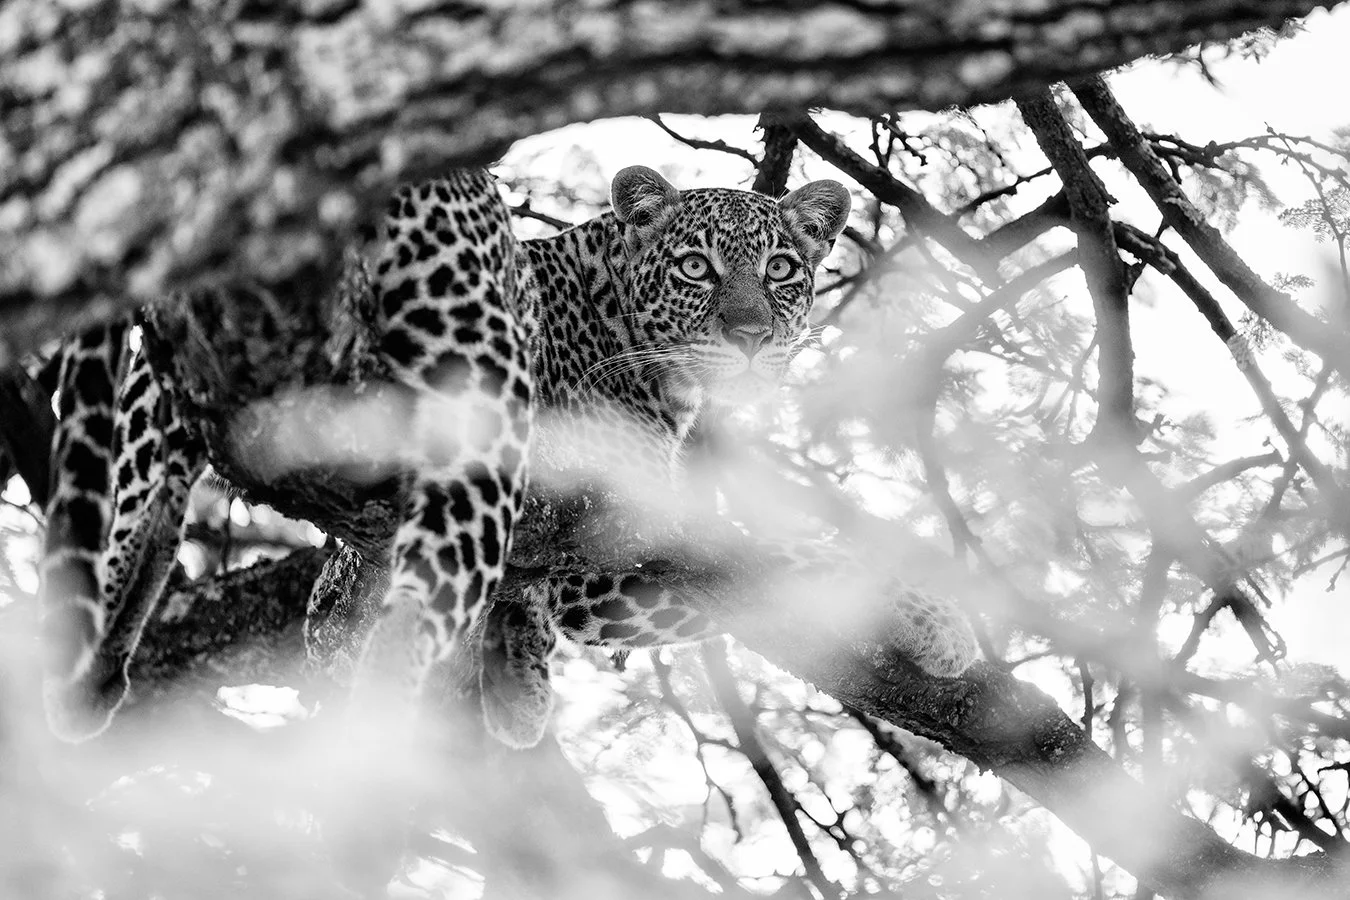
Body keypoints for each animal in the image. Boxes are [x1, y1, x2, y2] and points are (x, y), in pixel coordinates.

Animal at [37, 165, 979, 749]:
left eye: (782, 268)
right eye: (695, 269)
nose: (749, 336)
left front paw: (516, 677)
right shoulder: (613, 546)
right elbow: (791, 553)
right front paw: (939, 619)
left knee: (154, 481)